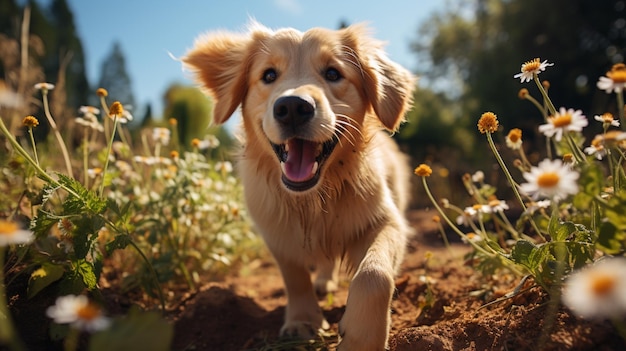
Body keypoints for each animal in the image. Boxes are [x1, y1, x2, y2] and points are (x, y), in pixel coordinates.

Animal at [182, 23, 414, 350]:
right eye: (269, 75)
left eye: (333, 73)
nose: (292, 107)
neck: (312, 199)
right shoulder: (277, 233)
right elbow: (294, 277)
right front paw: (303, 321)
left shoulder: (386, 221)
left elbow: (374, 274)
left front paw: (361, 337)